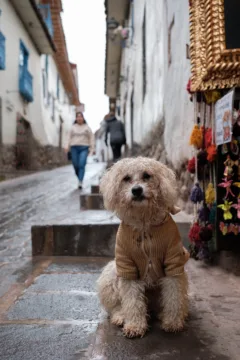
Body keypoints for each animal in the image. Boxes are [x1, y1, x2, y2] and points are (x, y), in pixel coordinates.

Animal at [96, 157, 189, 338]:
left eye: (147, 175)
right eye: (126, 178)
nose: (137, 190)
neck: (144, 223)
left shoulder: (173, 262)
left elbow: (173, 296)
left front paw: (173, 322)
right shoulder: (127, 266)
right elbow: (132, 302)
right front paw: (134, 326)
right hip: (111, 275)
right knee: (116, 306)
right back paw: (120, 316)